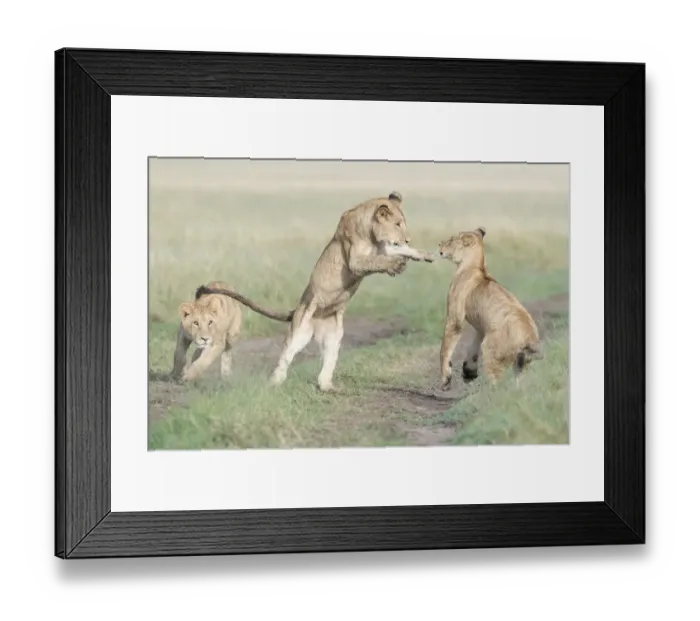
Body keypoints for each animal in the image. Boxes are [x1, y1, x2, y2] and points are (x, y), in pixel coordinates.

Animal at [195, 191, 434, 392]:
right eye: (398, 224)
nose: (408, 237)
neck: (371, 234)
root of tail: (299, 308)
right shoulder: (356, 260)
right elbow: (377, 261)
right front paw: (396, 265)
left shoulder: (384, 247)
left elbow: (399, 251)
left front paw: (423, 254)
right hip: (300, 330)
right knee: (286, 355)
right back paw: (275, 381)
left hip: (335, 336)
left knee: (328, 360)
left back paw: (327, 386)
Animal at [437, 227, 542, 390]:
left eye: (451, 239)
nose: (439, 246)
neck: (476, 265)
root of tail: (528, 337)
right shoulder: (481, 327)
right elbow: (473, 348)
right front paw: (469, 371)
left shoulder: (455, 318)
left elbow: (445, 348)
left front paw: (446, 379)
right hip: (522, 365)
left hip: (491, 352)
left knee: (498, 386)